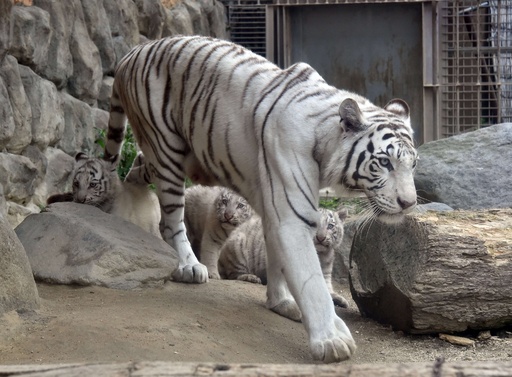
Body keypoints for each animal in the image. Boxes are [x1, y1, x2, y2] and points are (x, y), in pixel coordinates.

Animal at [103, 35, 416, 362]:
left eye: (413, 163)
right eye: (384, 162)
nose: (409, 203)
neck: (325, 144)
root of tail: (130, 54)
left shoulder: (274, 204)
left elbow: (278, 259)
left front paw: (282, 302)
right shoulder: (292, 215)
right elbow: (310, 279)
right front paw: (330, 340)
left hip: (173, 157)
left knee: (137, 168)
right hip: (167, 151)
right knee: (171, 221)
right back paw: (189, 266)